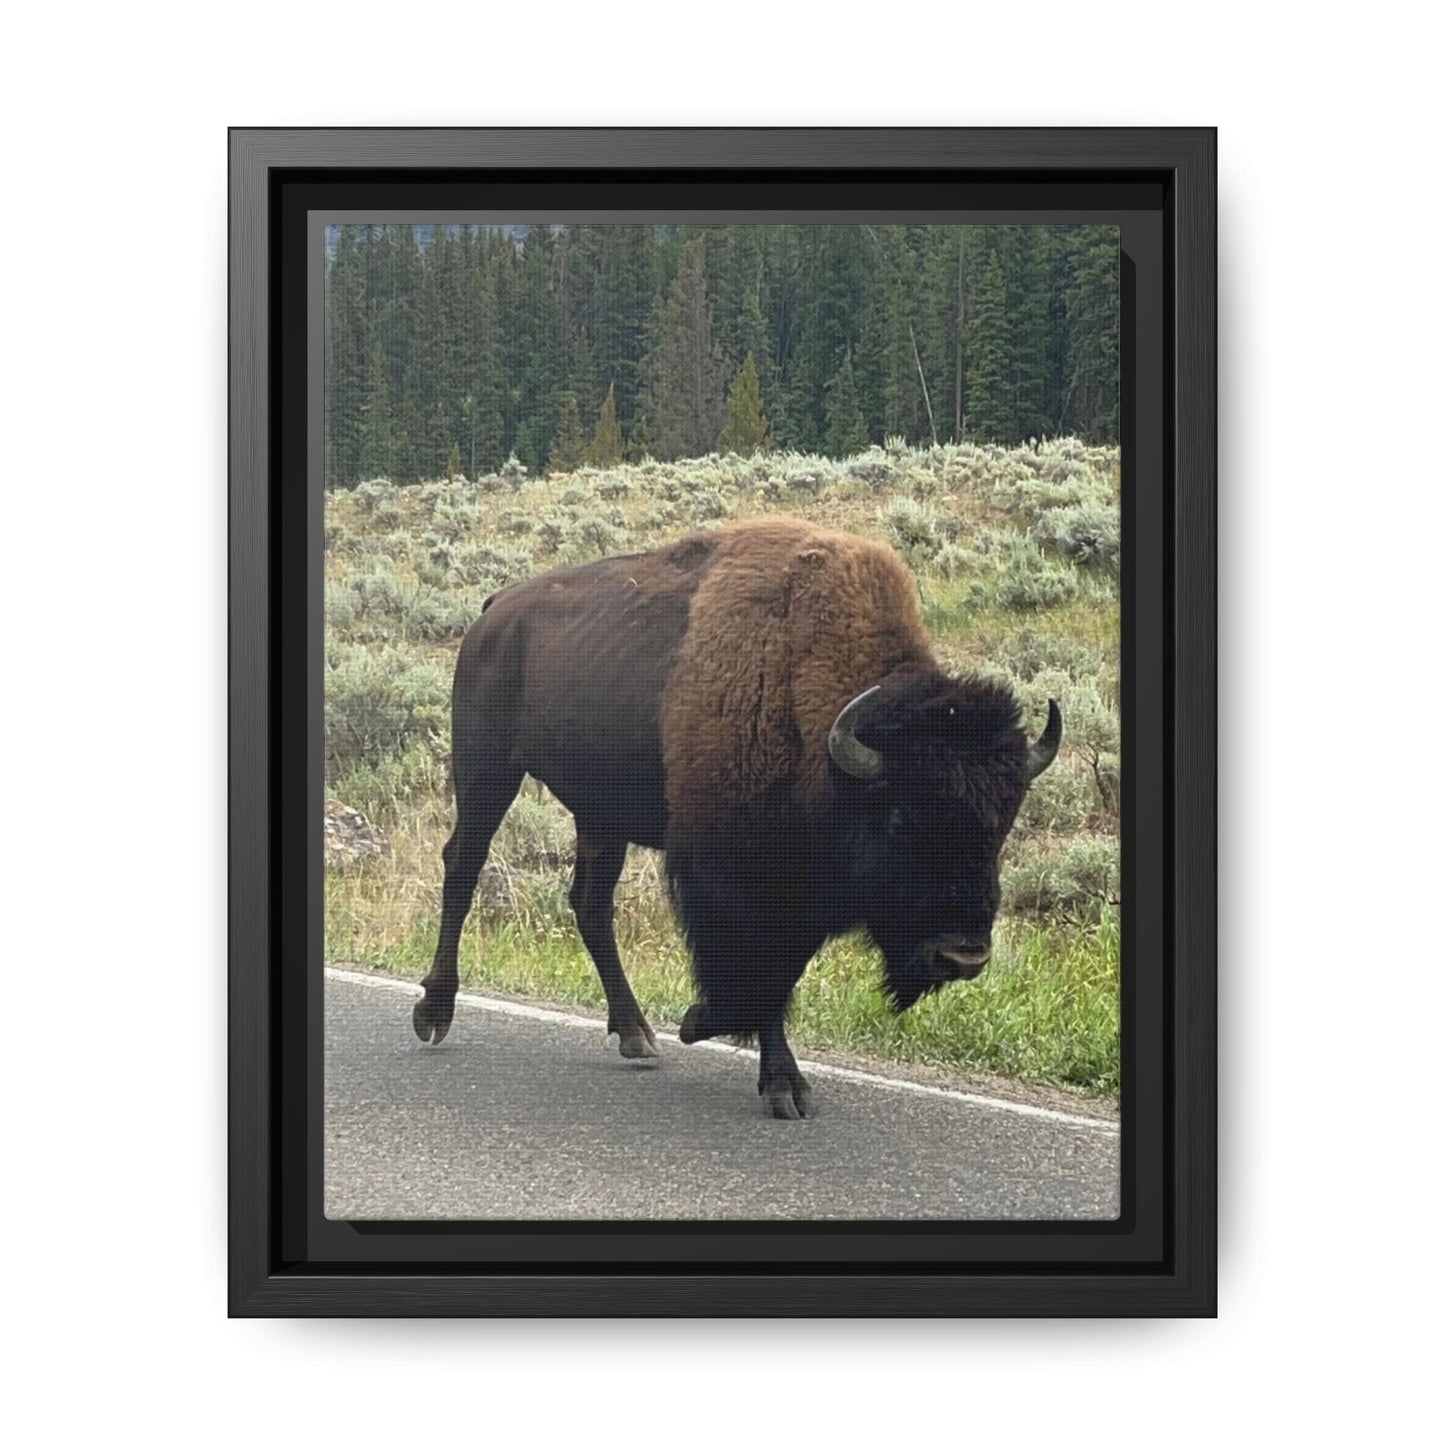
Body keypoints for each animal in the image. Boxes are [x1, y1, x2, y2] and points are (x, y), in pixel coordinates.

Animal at [414, 517, 1060, 1118]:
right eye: (901, 818)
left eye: (1003, 824)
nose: (963, 956)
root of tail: (495, 610)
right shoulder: (735, 876)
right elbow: (759, 970)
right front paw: (756, 1065)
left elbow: (781, 971)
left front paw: (728, 1042)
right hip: (487, 770)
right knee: (463, 867)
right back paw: (434, 1012)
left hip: (601, 813)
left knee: (591, 905)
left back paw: (636, 1035)